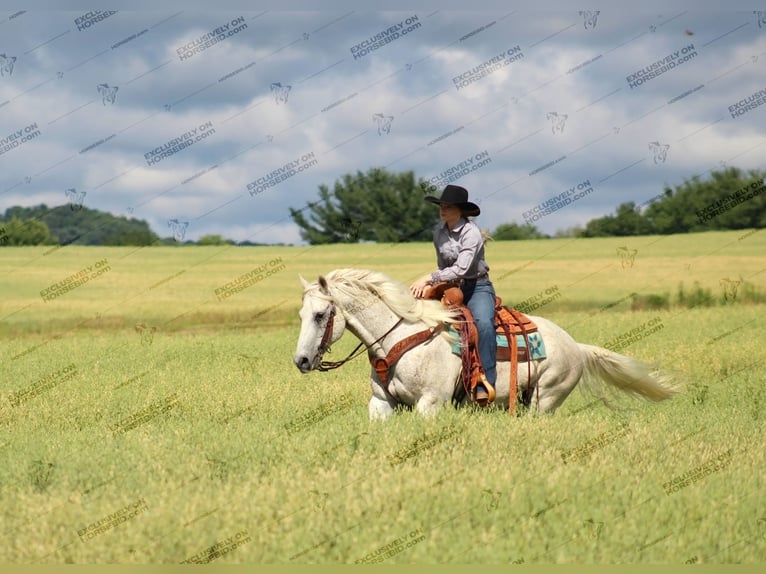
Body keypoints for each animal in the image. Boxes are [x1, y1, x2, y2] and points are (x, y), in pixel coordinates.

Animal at [292, 268, 676, 420]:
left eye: (321, 315)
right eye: (301, 314)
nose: (301, 361)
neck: (401, 337)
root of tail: (576, 346)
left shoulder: (430, 404)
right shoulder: (382, 404)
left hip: (545, 399)